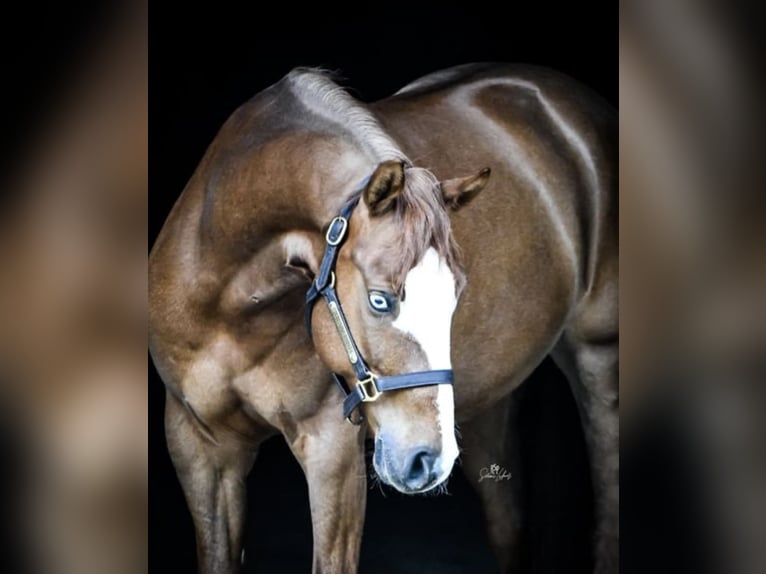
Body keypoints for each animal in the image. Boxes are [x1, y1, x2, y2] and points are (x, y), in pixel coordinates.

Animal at [149, 63, 617, 573]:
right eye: (379, 301)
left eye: (455, 297)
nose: (427, 460)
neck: (229, 307)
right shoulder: (199, 447)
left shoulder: (331, 450)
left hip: (597, 360)